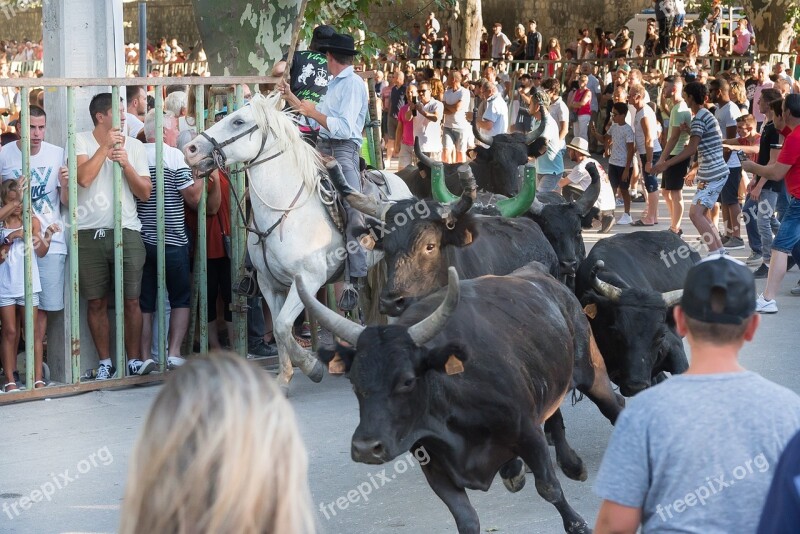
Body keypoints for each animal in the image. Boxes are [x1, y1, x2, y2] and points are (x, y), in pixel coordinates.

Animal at [183, 94, 412, 392]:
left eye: (238, 121)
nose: (190, 149)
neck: (284, 212)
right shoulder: (269, 285)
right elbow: (282, 330)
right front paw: (284, 377)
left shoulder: (308, 280)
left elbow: (281, 325)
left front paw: (311, 367)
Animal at [296, 266, 624, 532]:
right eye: (353, 381)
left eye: (407, 380)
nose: (366, 448)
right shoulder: (434, 463)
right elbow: (466, 519)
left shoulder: (527, 433)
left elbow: (549, 488)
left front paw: (580, 524)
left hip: (593, 373)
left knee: (614, 407)